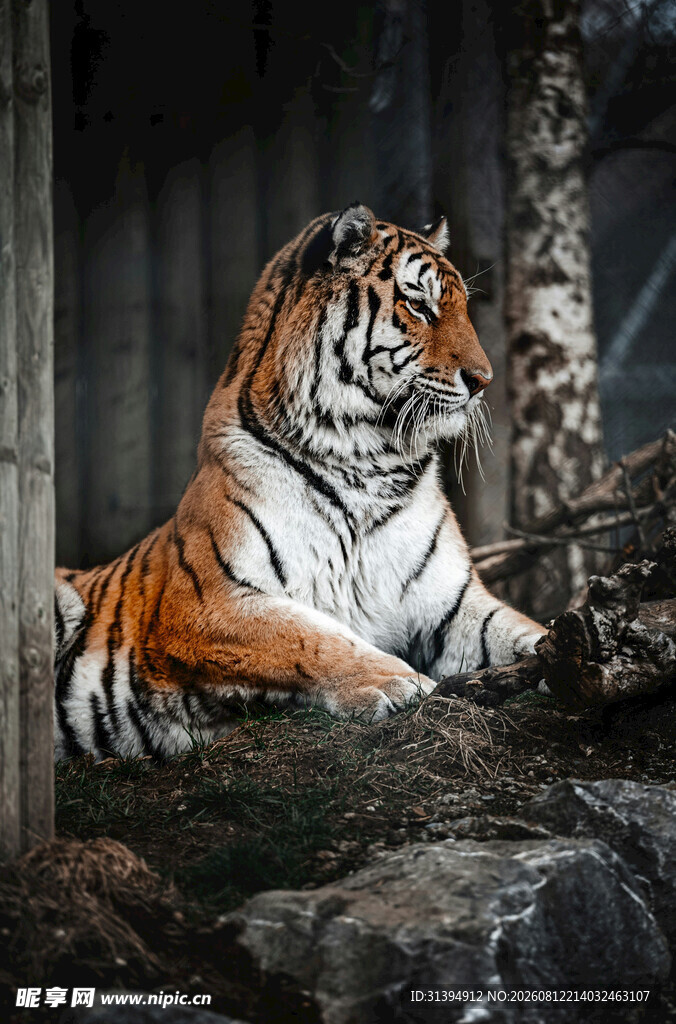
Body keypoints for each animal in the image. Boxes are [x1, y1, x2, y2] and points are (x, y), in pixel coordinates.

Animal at [54, 203, 546, 761]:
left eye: (462, 307)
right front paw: (396, 682)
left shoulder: (452, 605)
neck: (369, 460)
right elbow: (311, 638)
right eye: (418, 305)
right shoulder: (204, 602)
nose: (484, 381)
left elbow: (522, 630)